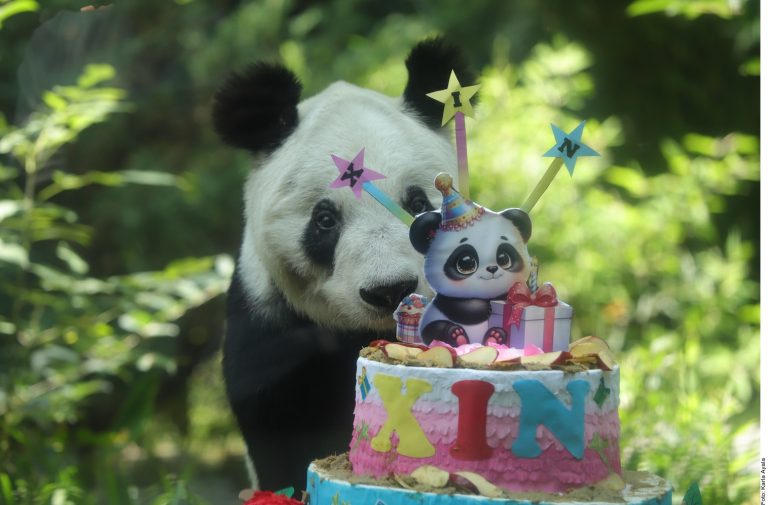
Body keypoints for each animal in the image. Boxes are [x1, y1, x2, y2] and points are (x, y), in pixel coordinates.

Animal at [409, 173, 532, 347]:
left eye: (503, 258)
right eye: (466, 263)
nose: (492, 269)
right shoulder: (445, 300)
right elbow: (459, 306)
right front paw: (483, 308)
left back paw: (494, 336)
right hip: (430, 322)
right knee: (435, 329)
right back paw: (457, 336)